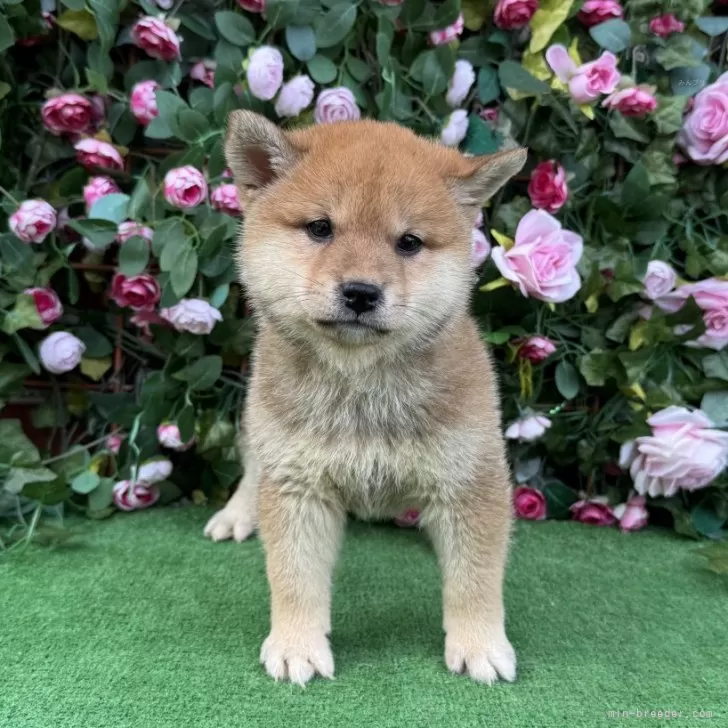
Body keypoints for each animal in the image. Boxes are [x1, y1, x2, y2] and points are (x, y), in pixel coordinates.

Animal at [202, 111, 528, 684]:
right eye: (320, 228)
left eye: (409, 242)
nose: (361, 292)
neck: (361, 393)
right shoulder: (298, 486)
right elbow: (294, 578)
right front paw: (296, 645)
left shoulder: (470, 478)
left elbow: (476, 578)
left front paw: (481, 645)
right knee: (253, 464)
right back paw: (237, 513)